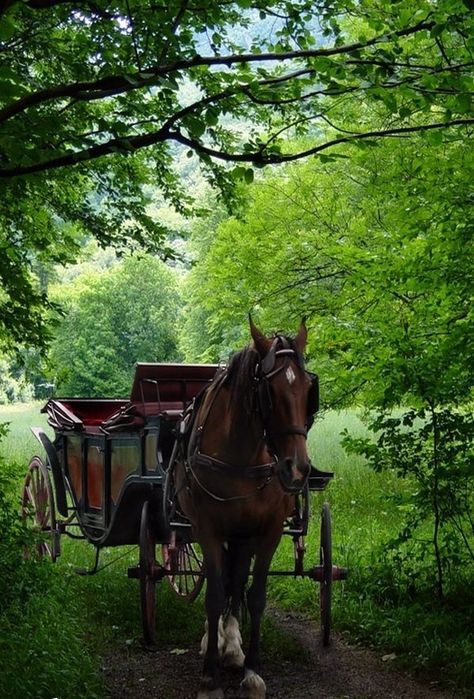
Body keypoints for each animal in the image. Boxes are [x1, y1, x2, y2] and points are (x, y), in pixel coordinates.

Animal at [173, 318, 314, 699]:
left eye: (309, 387)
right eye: (269, 391)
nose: (297, 470)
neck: (241, 454)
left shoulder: (267, 531)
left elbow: (254, 595)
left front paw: (251, 670)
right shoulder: (207, 528)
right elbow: (214, 594)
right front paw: (209, 678)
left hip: (242, 534)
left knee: (235, 579)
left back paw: (233, 645)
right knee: (220, 579)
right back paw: (215, 641)